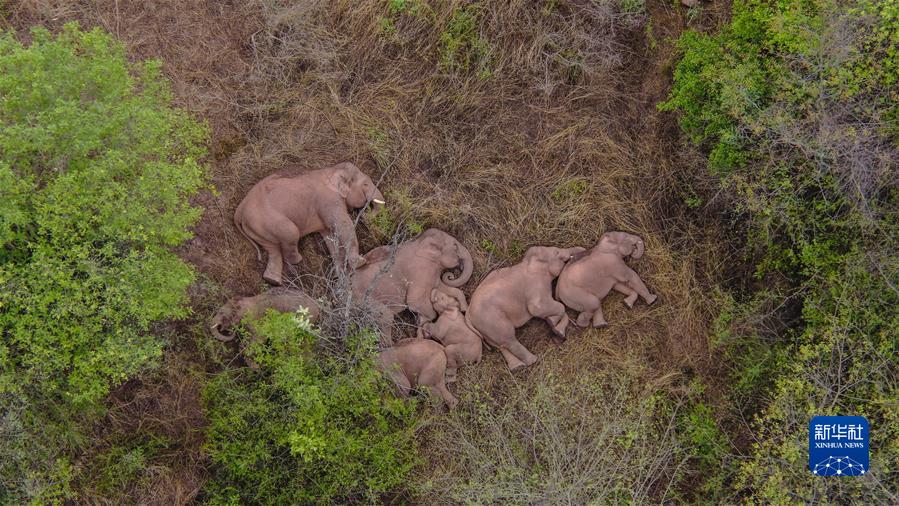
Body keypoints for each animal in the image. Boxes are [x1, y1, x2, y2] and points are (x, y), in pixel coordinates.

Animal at [234, 161, 384, 284]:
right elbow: (342, 225)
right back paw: (297, 260)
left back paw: (272, 281)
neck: (331, 170)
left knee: (272, 249)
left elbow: (329, 235)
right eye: (365, 184)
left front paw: (339, 275)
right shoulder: (329, 200)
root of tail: (239, 210)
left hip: (257, 228)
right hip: (267, 220)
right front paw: (360, 263)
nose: (364, 213)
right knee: (291, 233)